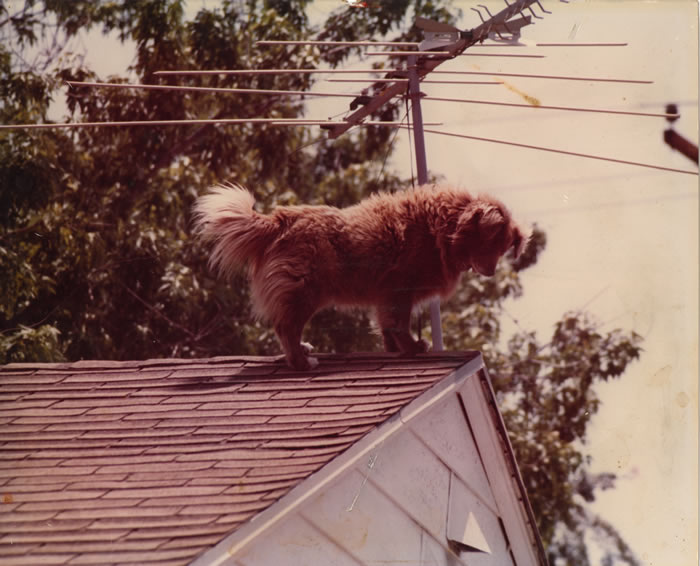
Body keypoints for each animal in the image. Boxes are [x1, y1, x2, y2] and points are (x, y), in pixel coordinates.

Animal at [194, 183, 524, 372]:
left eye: (504, 249)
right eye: (493, 244)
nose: (492, 271)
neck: (443, 227)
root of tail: (279, 220)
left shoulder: (387, 296)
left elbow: (388, 328)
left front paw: (396, 351)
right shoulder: (399, 289)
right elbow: (399, 323)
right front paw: (413, 347)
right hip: (305, 289)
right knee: (286, 327)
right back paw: (301, 362)